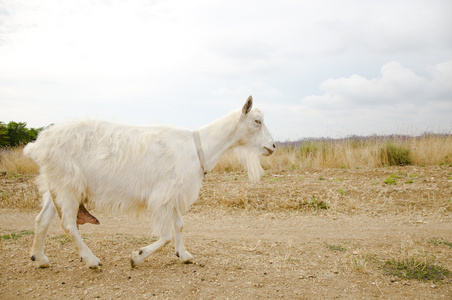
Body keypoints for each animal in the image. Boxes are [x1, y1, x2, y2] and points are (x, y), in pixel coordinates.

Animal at [24, 96, 276, 270]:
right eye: (257, 121)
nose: (273, 146)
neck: (198, 146)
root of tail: (39, 144)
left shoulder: (173, 193)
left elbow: (179, 225)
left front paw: (184, 255)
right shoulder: (162, 195)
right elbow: (165, 235)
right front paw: (136, 257)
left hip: (56, 186)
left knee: (41, 219)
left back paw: (40, 259)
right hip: (68, 186)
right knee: (68, 223)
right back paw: (92, 260)